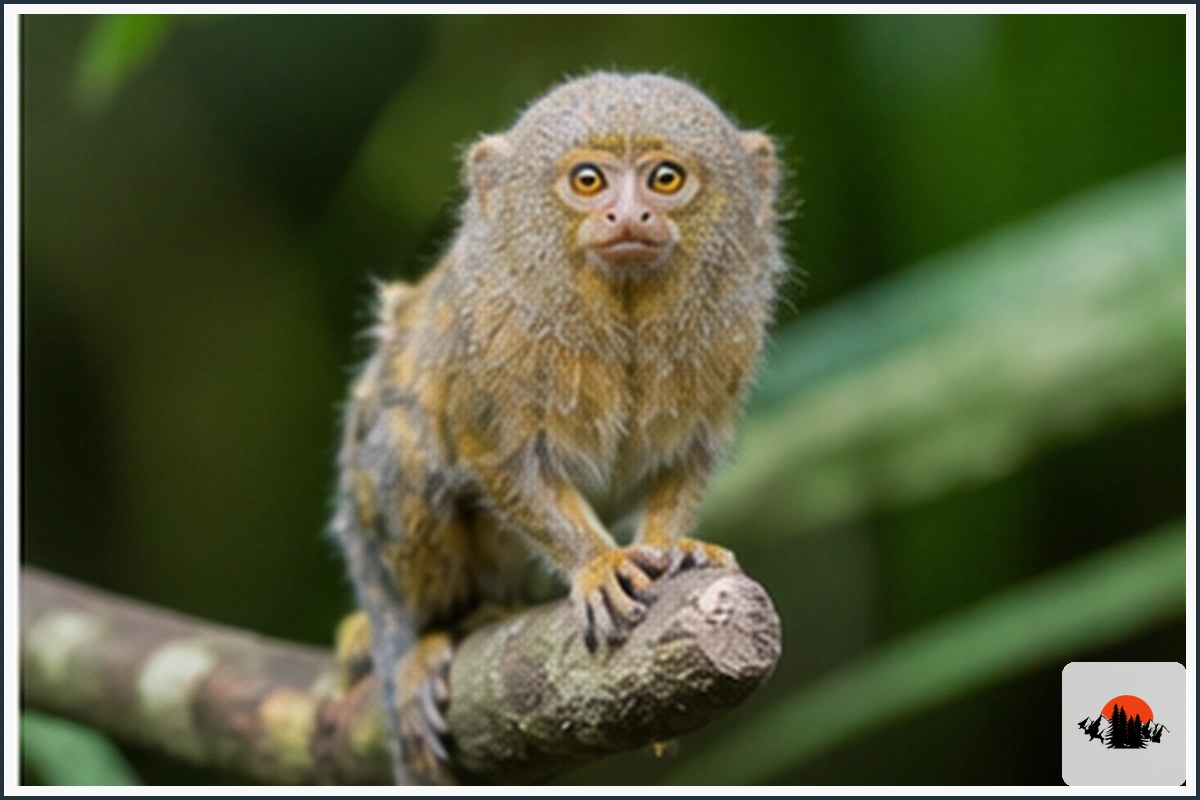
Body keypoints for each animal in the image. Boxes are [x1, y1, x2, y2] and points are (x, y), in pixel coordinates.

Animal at [328, 72, 788, 784]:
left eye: (664, 179)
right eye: (589, 181)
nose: (628, 216)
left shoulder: (724, 348)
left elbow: (683, 459)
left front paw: (674, 545)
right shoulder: (486, 349)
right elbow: (500, 461)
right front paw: (598, 564)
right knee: (405, 447)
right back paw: (419, 640)